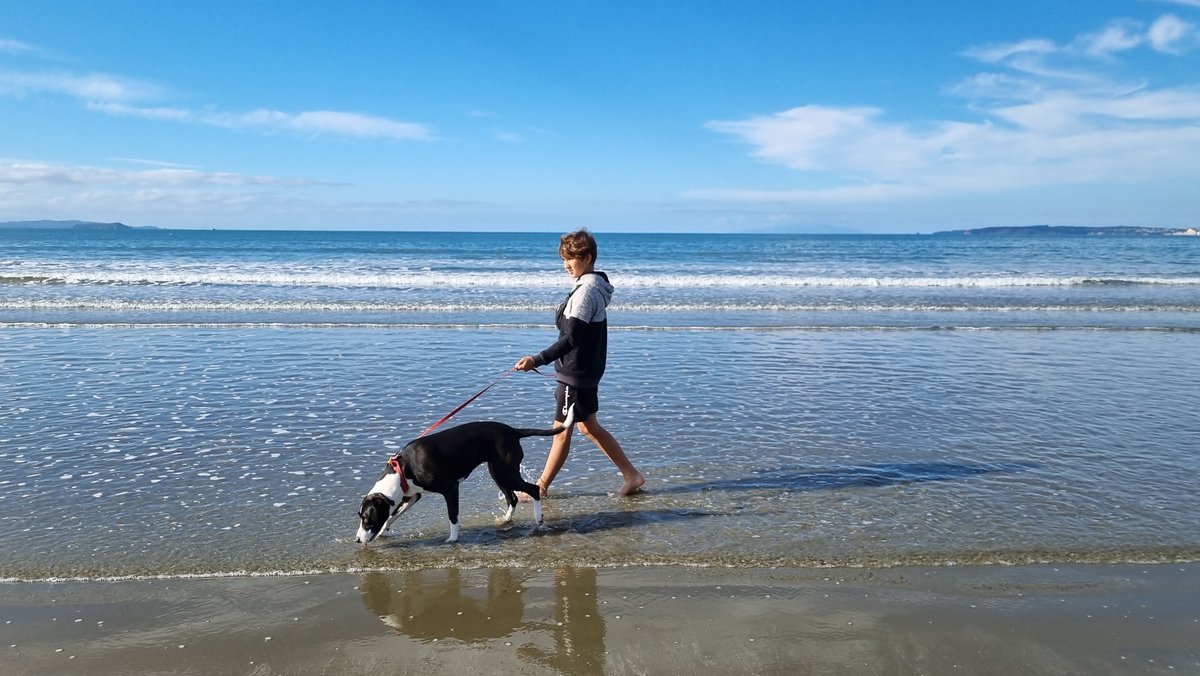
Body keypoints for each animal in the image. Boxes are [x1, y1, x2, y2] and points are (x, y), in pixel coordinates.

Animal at [352, 408, 573, 545]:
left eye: (368, 519)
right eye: (361, 518)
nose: (357, 540)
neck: (404, 469)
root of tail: (513, 431)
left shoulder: (451, 489)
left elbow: (453, 516)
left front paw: (452, 539)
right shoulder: (412, 495)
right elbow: (394, 515)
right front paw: (383, 531)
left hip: (506, 473)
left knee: (533, 489)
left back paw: (538, 519)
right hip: (497, 473)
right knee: (513, 497)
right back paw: (505, 520)